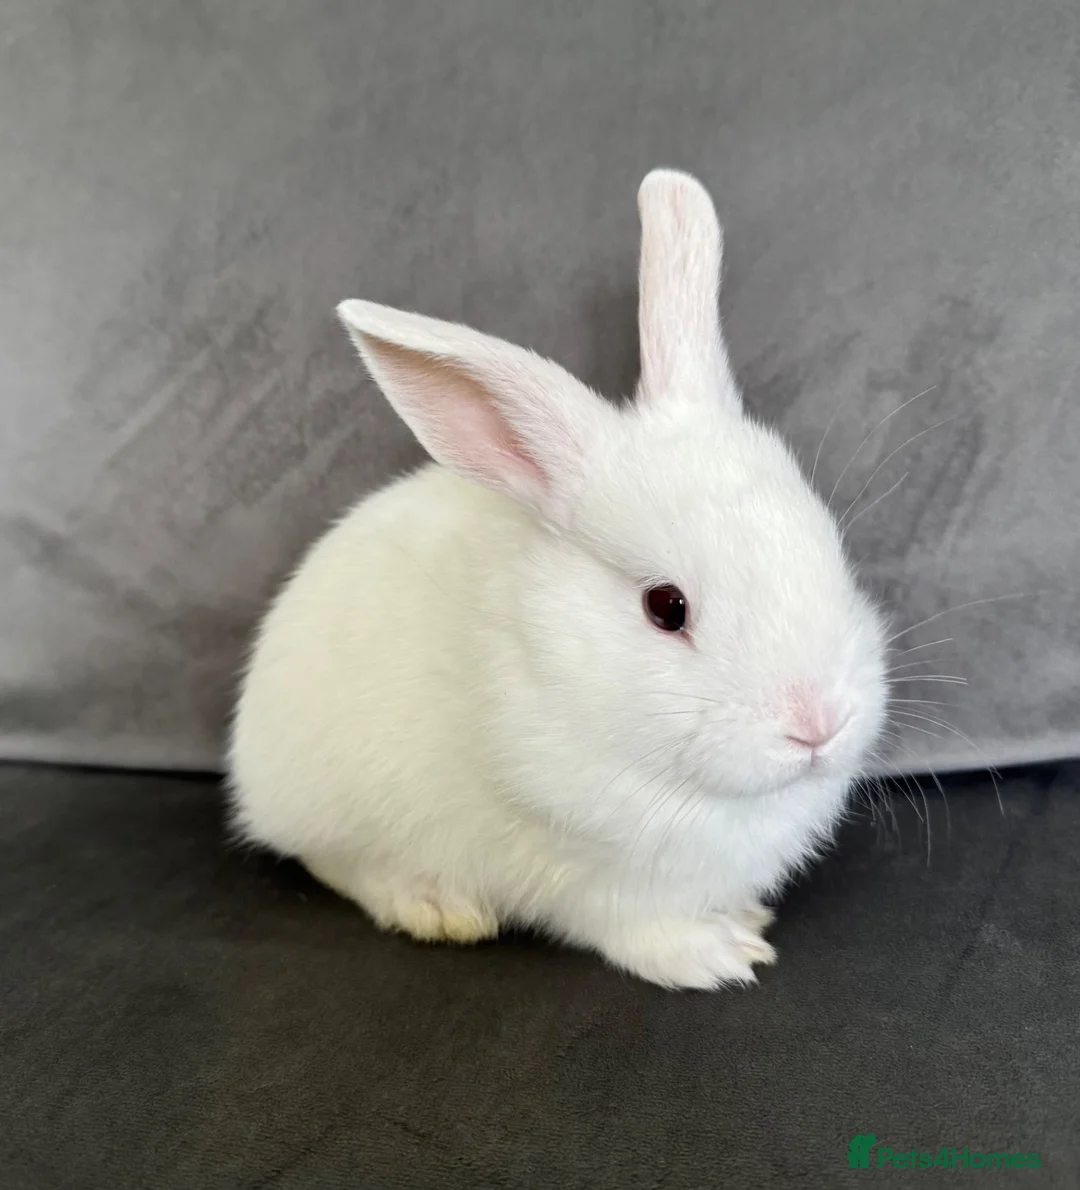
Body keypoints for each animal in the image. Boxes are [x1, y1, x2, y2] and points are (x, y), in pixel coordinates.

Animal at [228, 168, 888, 991]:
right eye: (666, 607)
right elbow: (635, 928)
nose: (819, 725)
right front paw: (717, 956)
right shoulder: (595, 875)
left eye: (830, 548)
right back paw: (434, 904)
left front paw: (745, 918)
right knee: (337, 863)